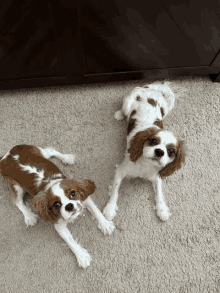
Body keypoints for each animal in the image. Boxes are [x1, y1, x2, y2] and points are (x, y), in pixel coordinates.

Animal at [103, 81, 186, 221]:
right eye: (153, 141)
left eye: (171, 151)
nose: (159, 152)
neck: (146, 164)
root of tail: (151, 89)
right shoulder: (120, 170)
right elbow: (115, 190)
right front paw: (110, 209)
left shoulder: (156, 176)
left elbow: (159, 193)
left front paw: (162, 210)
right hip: (127, 102)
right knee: (124, 110)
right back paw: (119, 114)